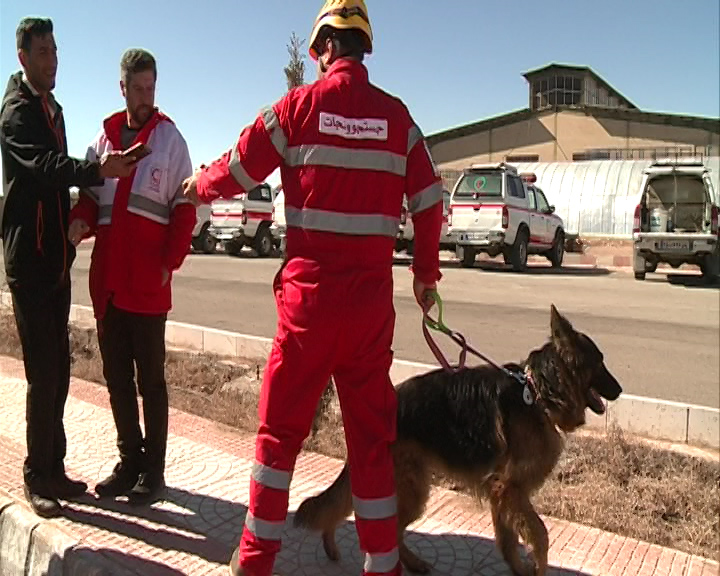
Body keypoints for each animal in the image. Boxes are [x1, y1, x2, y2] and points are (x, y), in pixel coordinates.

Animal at [292, 304, 620, 572]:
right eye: (600, 361)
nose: (619, 390)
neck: (538, 392)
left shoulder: (503, 493)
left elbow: (508, 539)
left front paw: (519, 569)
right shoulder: (510, 488)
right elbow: (540, 535)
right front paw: (538, 568)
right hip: (413, 489)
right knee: (389, 528)